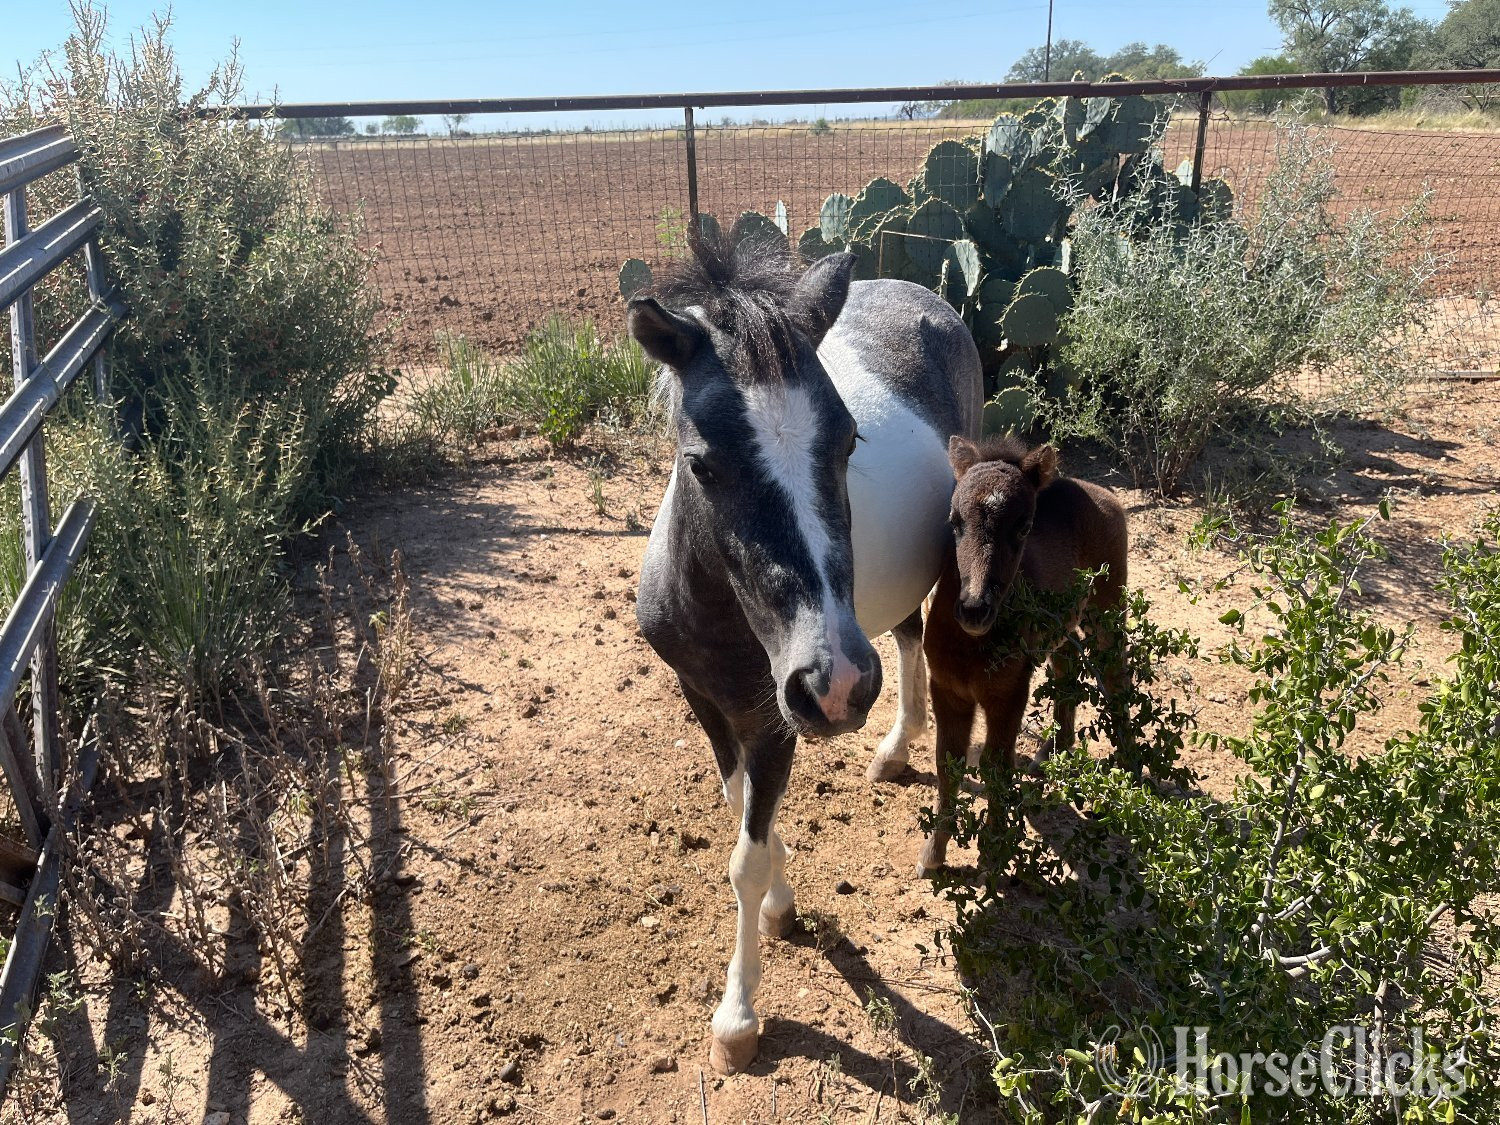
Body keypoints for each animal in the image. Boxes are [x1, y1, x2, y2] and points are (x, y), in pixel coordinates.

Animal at [629, 228, 981, 1073]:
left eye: (850, 439)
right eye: (702, 461)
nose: (836, 683)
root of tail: (924, 296)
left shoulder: (773, 720)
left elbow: (745, 858)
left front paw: (737, 1018)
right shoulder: (706, 699)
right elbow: (740, 814)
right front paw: (784, 907)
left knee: (917, 641)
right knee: (906, 634)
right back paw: (894, 750)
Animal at [917, 435, 1128, 878]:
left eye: (1024, 527)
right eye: (954, 522)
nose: (974, 608)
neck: (971, 645)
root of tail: (1104, 495)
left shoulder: (1008, 693)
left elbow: (997, 766)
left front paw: (994, 855)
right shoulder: (946, 689)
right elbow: (948, 764)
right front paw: (933, 854)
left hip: (1106, 608)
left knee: (1117, 673)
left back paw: (1131, 762)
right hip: (1065, 624)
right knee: (1067, 667)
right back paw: (1054, 752)